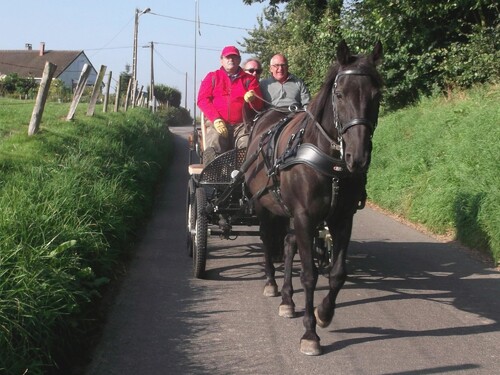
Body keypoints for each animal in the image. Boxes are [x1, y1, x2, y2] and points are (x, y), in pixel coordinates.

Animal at [243, 40, 382, 356]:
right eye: (340, 94)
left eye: (377, 95)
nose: (358, 157)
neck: (328, 160)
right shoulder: (305, 217)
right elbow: (309, 274)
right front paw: (310, 333)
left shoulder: (341, 218)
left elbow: (338, 273)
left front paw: (323, 313)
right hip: (263, 204)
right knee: (267, 240)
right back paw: (271, 283)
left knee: (287, 243)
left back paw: (287, 299)